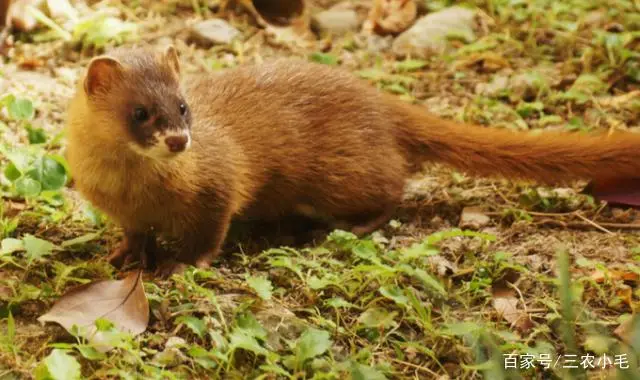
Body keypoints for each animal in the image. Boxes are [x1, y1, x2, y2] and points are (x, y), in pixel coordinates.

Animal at [66, 45, 640, 276]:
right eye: (140, 112)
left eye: (183, 105)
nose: (180, 141)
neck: (133, 189)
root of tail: (379, 100)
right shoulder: (121, 209)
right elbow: (134, 235)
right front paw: (120, 255)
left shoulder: (218, 187)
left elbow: (211, 231)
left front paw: (184, 263)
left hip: (341, 176)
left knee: (393, 188)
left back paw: (338, 229)